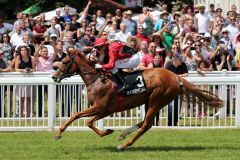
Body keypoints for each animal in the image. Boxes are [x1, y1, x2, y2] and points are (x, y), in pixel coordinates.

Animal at [52, 48, 223, 150]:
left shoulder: (102, 109)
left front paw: (106, 131)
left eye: (65, 62)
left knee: (146, 124)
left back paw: (124, 145)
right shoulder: (100, 110)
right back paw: (123, 134)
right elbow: (77, 116)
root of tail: (176, 77)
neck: (97, 80)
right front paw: (59, 133)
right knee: (145, 122)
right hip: (150, 101)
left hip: (157, 100)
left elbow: (85, 120)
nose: (54, 76)